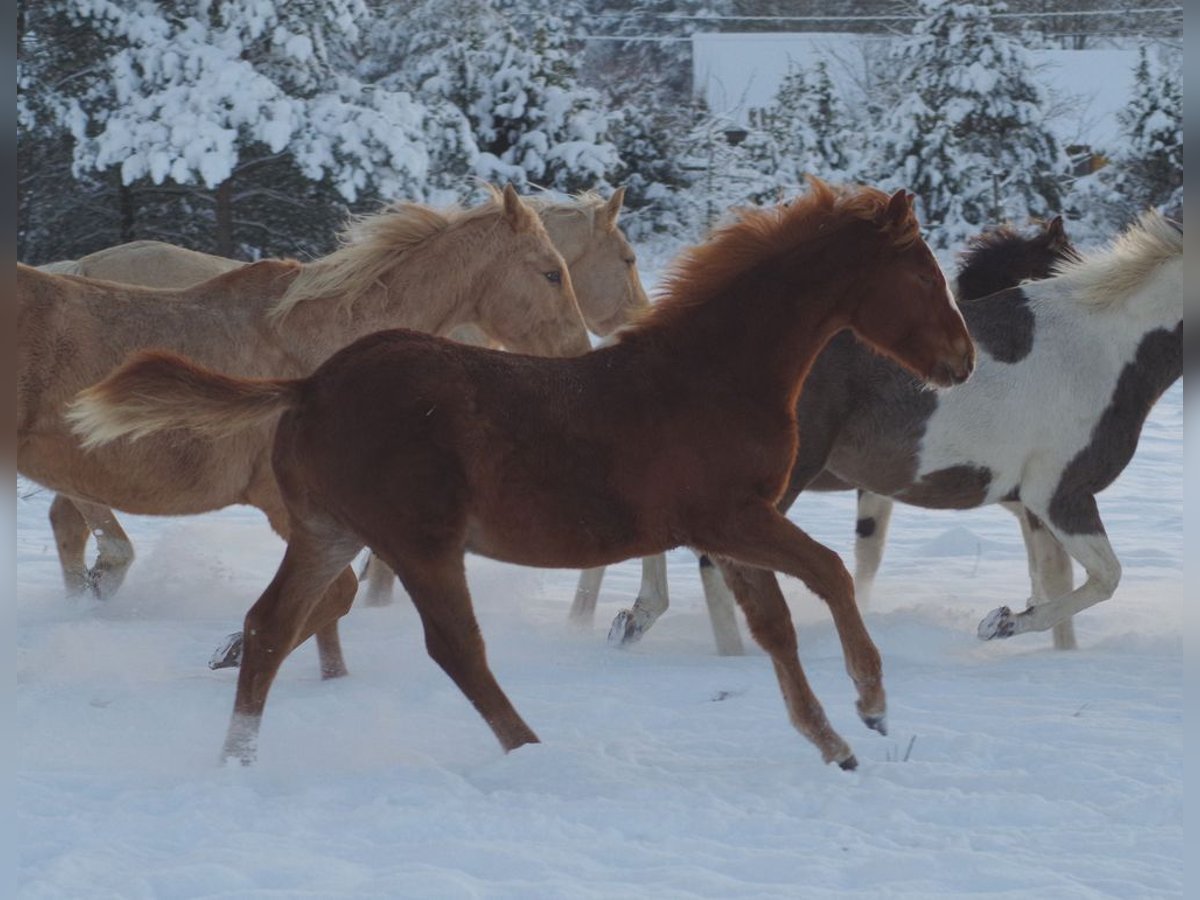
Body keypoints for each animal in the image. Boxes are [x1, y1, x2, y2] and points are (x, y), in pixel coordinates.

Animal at [15, 187, 585, 681]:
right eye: (551, 273)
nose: (579, 355)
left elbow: (330, 603)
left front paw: (329, 678)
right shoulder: (286, 506)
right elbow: (333, 596)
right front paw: (238, 653)